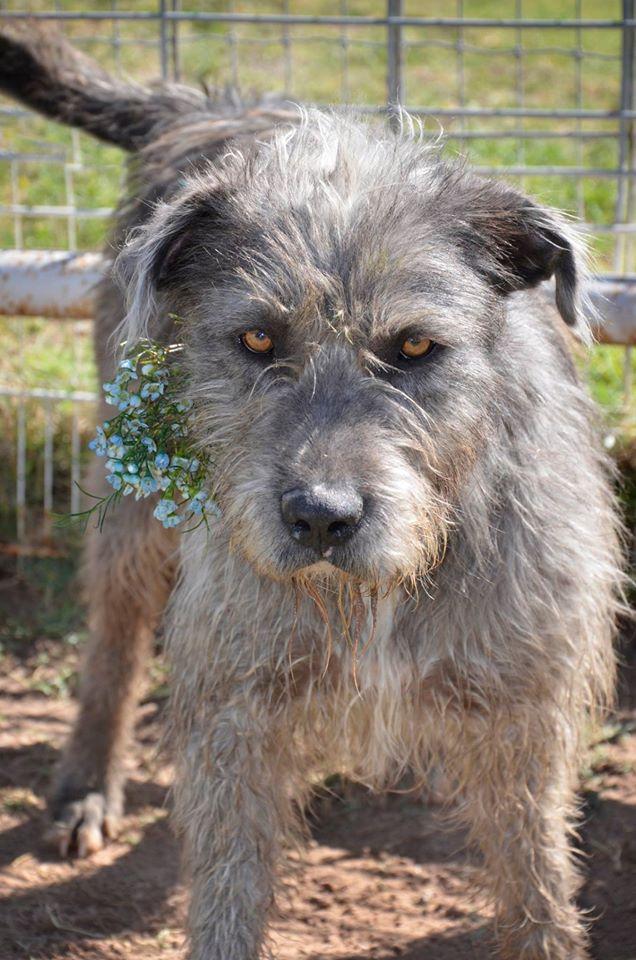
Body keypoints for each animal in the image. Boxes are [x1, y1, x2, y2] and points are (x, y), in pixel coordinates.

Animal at [0, 22, 624, 960]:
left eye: (415, 347)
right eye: (257, 339)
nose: (320, 519)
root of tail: (215, 107)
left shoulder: (522, 715)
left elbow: (535, 890)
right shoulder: (238, 702)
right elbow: (227, 887)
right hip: (133, 500)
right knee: (115, 628)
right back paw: (86, 783)